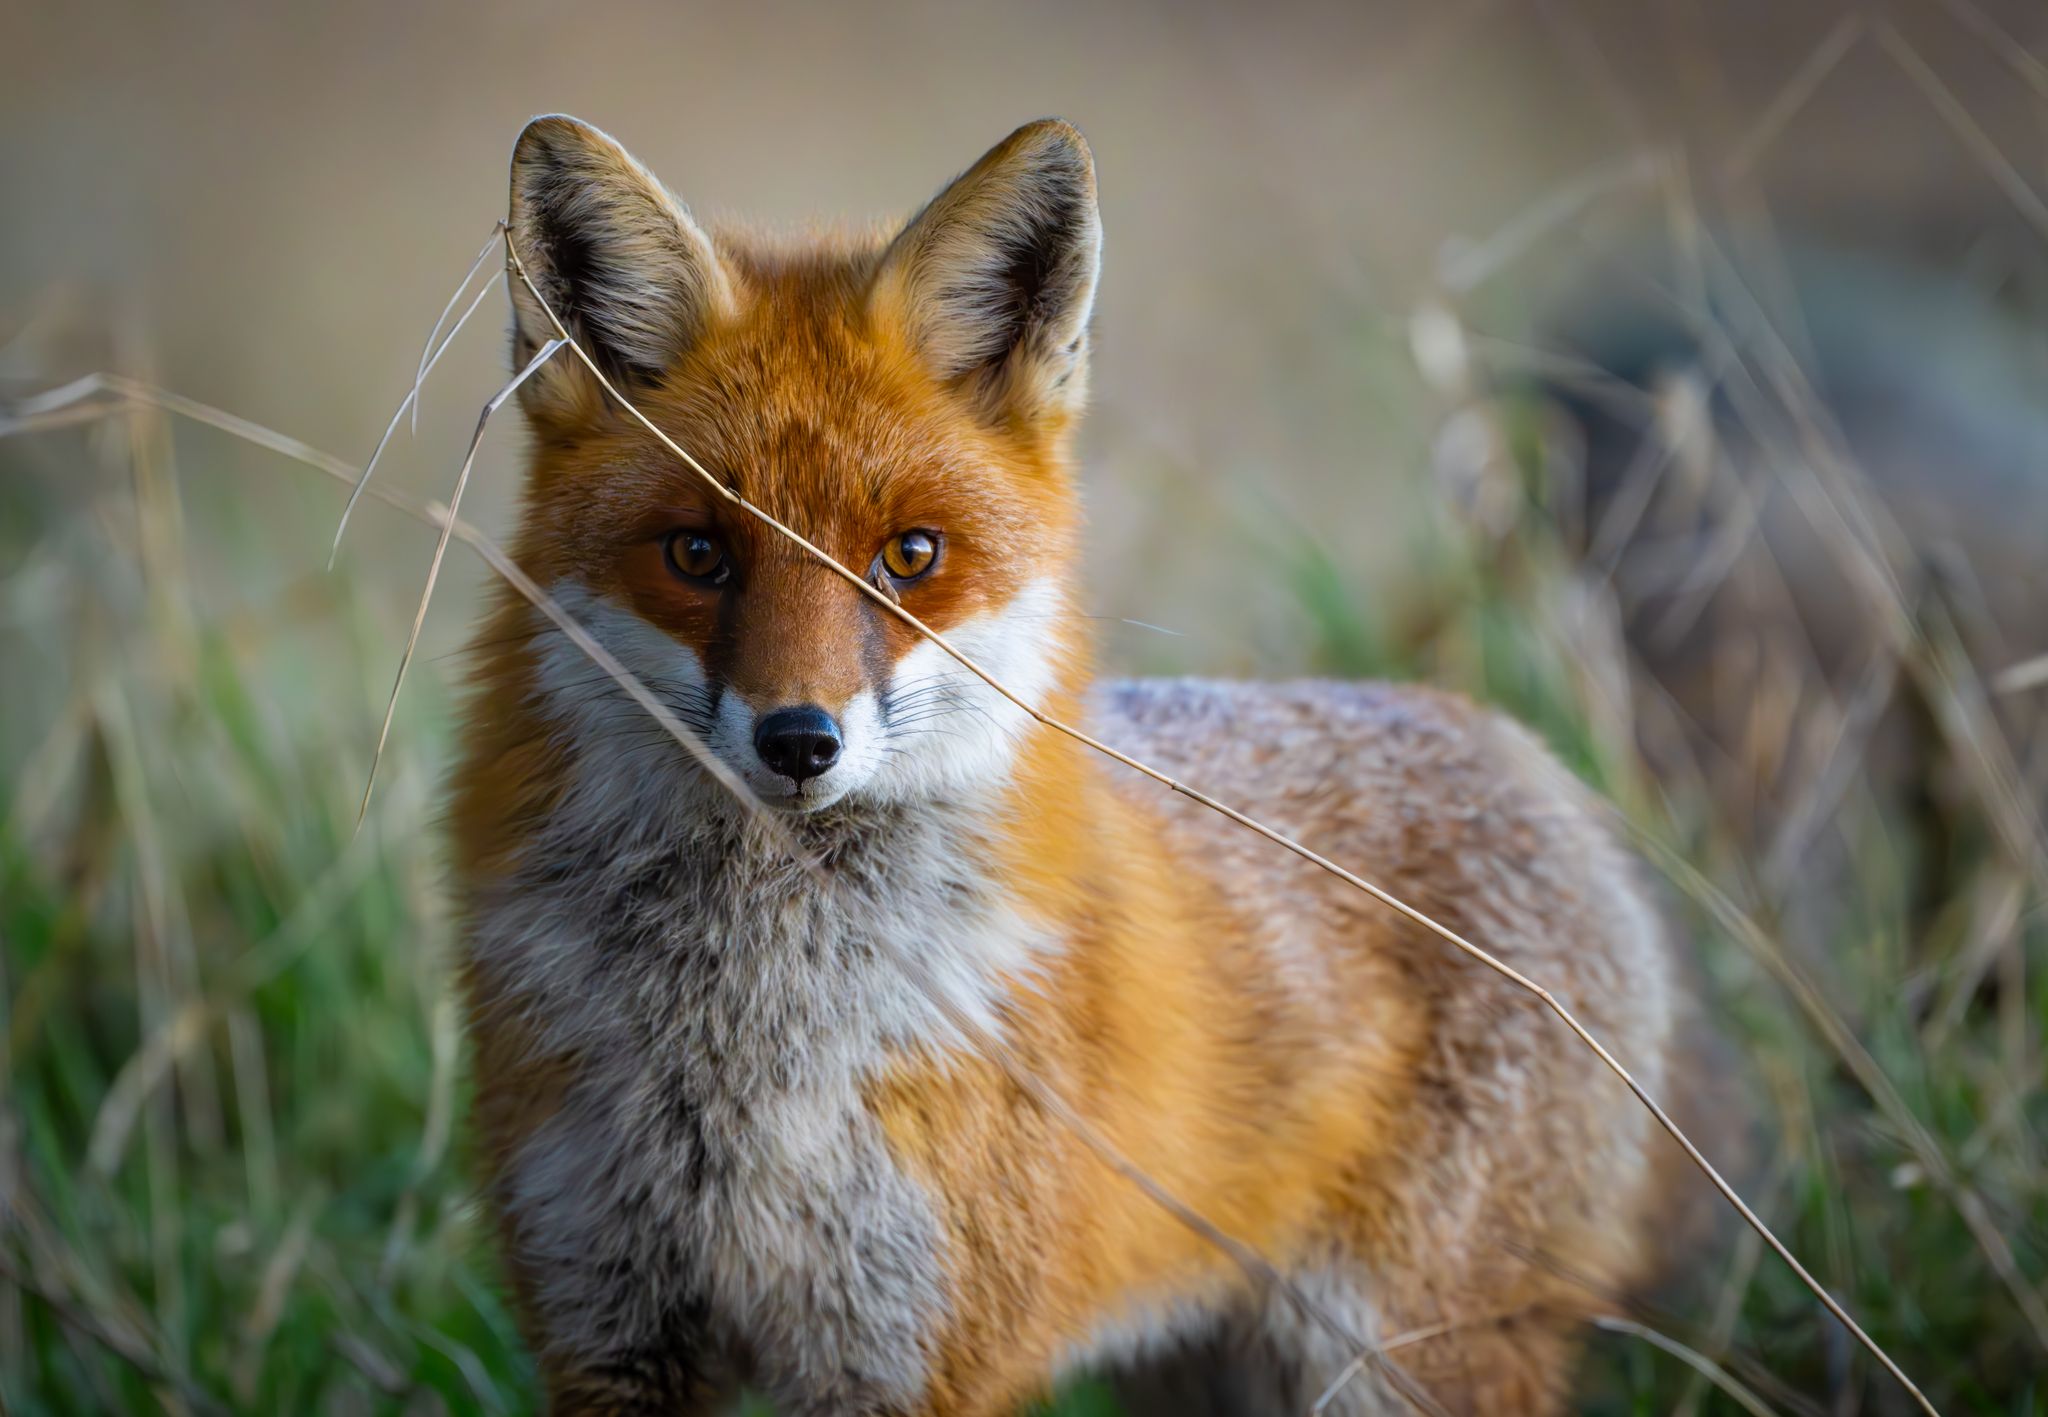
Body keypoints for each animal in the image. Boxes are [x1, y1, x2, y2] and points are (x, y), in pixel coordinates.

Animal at [456, 113, 1687, 1416]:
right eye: (696, 554)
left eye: (910, 555)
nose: (798, 739)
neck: (755, 1037)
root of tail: (1518, 751)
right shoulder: (606, 1320)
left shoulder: (909, 1352)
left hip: (1390, 1365)